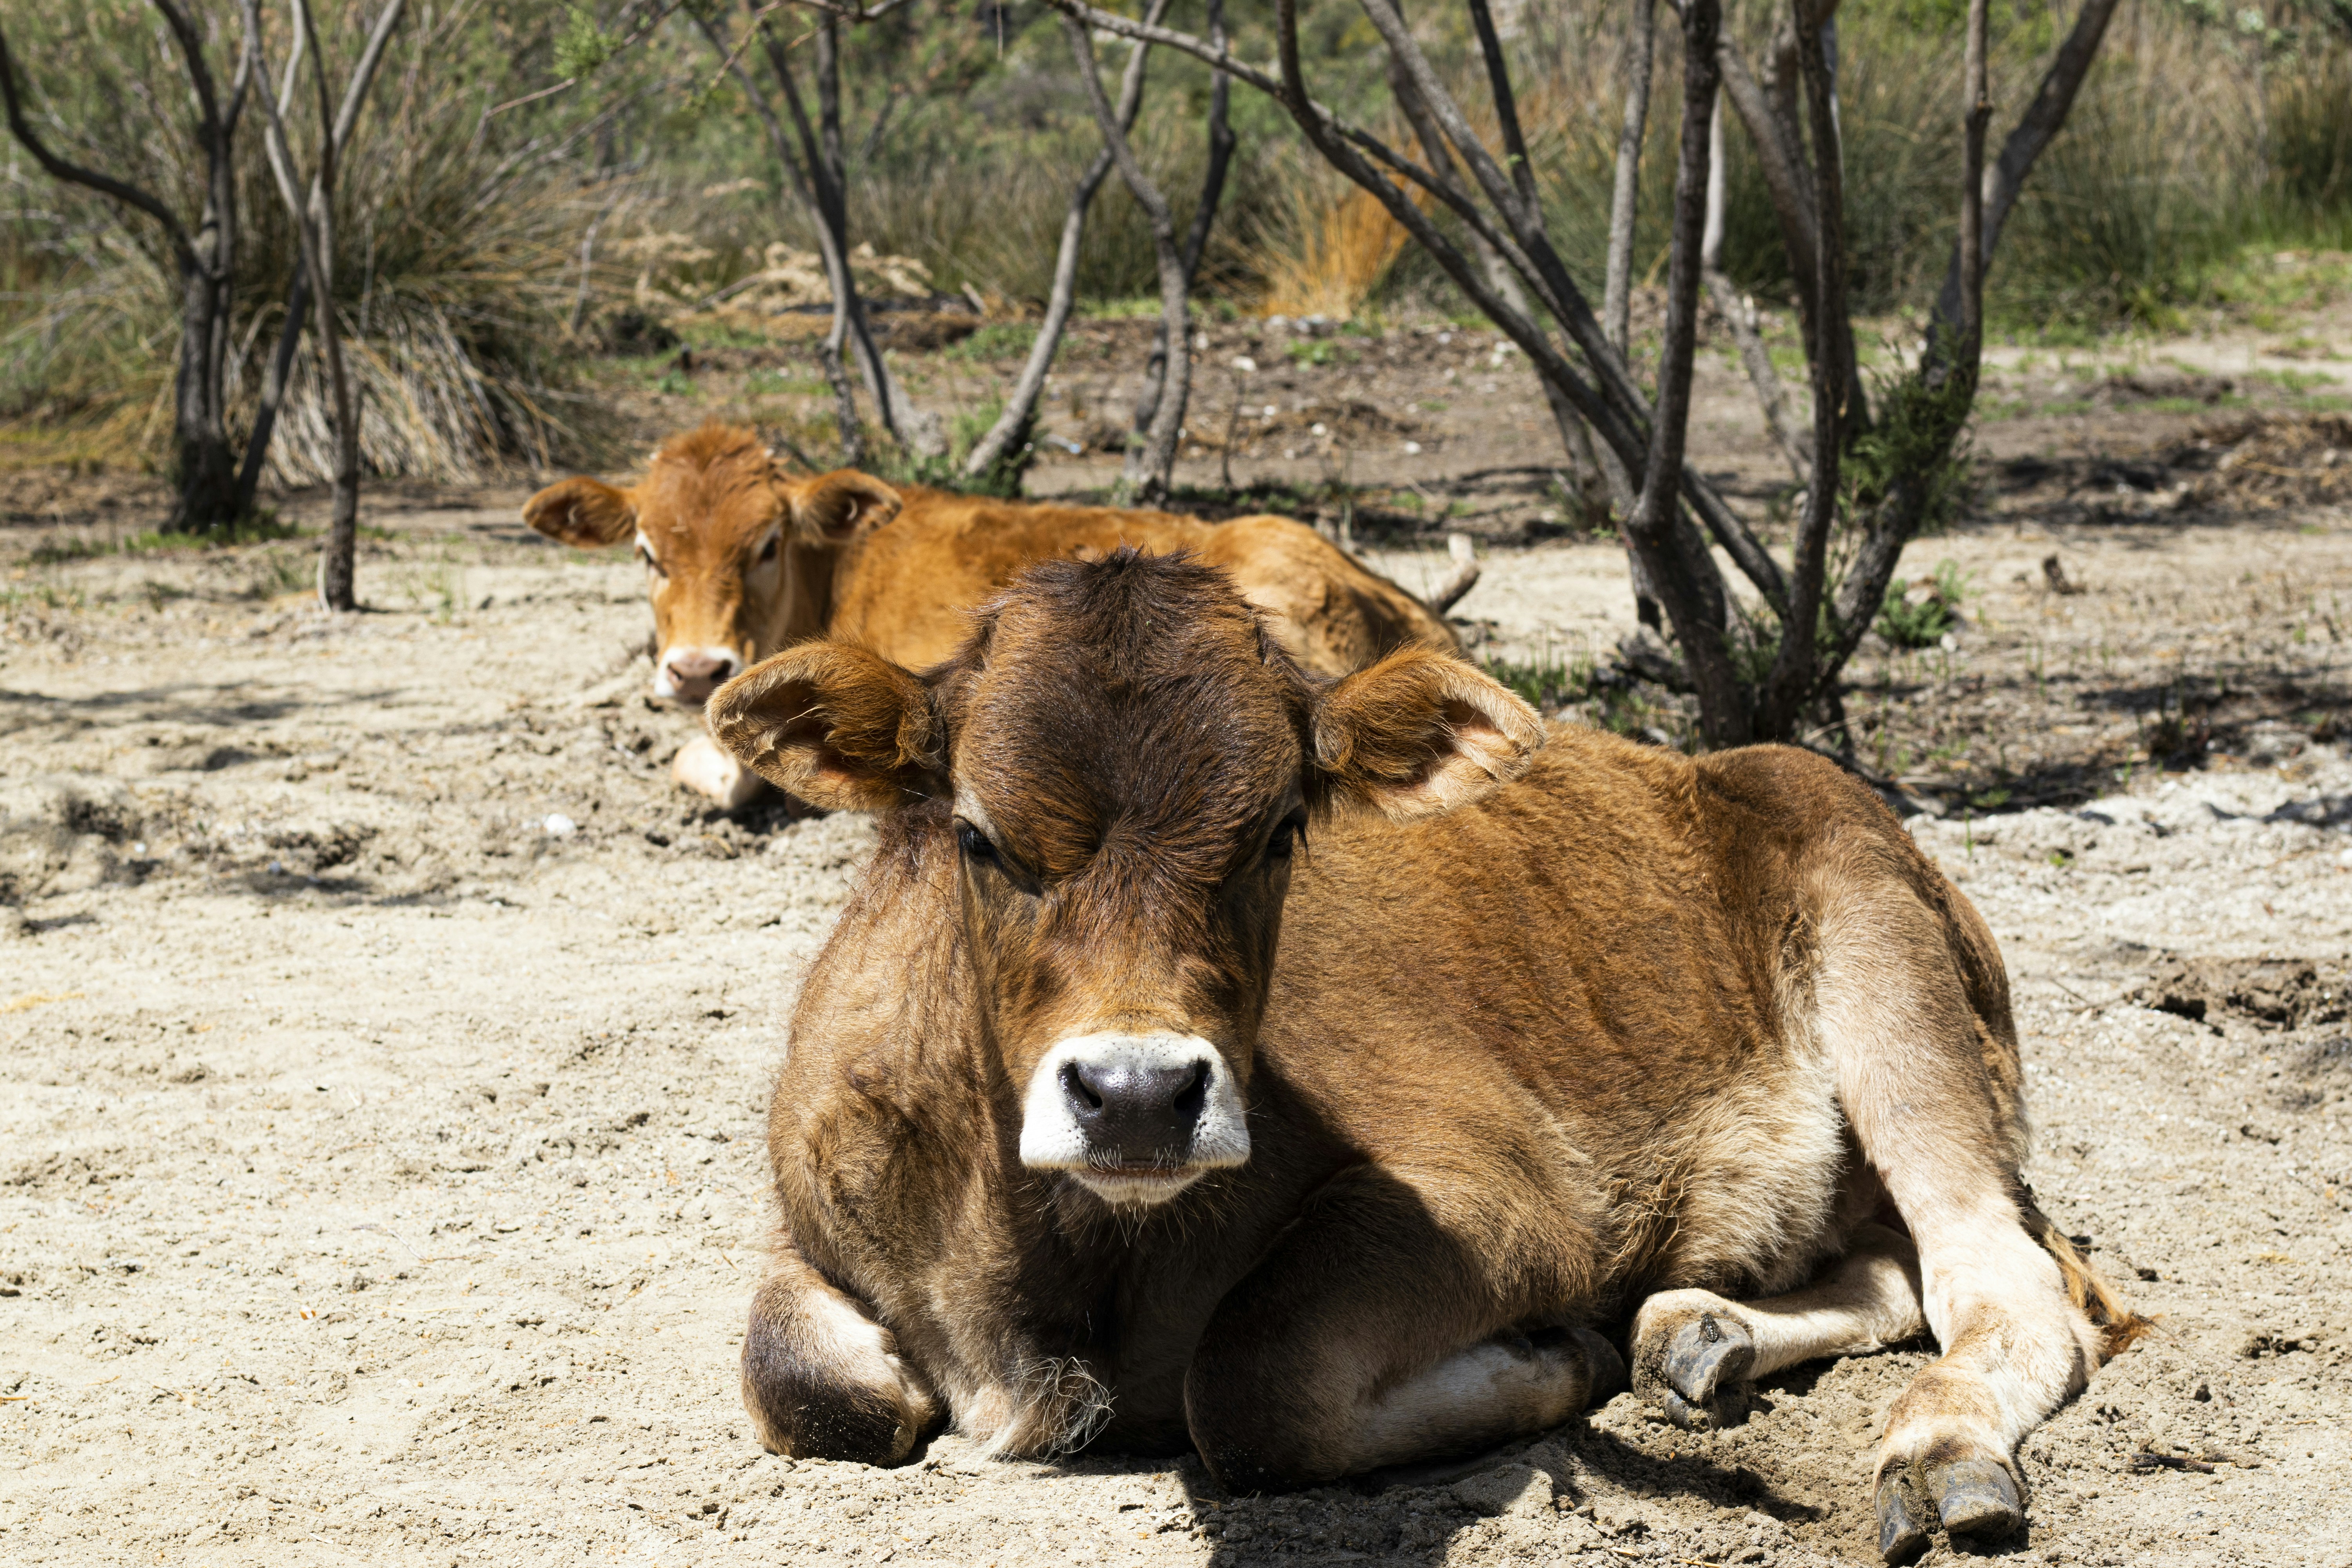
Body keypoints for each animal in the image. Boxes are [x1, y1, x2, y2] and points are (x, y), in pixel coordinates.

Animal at [704, 548, 2145, 1563]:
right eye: (978, 836)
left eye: (1282, 830)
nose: (1139, 1096)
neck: (1054, 1276)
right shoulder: (814, 1218)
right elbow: (807, 1387)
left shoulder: (1502, 1196)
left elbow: (1256, 1383)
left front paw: (1552, 1358)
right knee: (1892, 1267)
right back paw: (1702, 1334)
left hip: (1892, 980)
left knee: (2001, 1278)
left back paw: (1931, 1453)